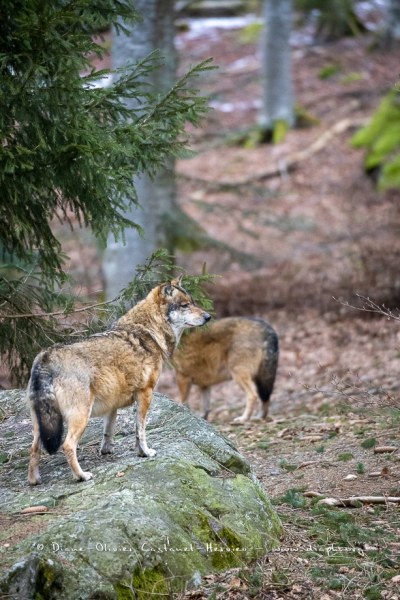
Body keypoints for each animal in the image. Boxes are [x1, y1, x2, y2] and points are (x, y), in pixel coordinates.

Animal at [26, 274, 211, 486]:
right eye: (185, 305)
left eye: (194, 303)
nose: (208, 317)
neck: (150, 331)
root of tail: (45, 357)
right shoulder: (145, 393)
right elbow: (141, 430)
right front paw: (145, 453)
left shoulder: (112, 404)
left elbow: (109, 430)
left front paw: (106, 451)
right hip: (80, 417)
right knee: (67, 445)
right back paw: (81, 476)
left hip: (41, 424)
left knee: (33, 448)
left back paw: (34, 480)